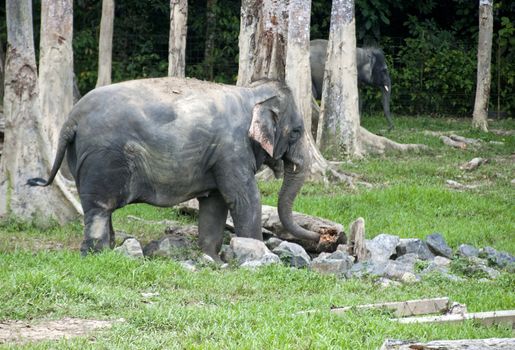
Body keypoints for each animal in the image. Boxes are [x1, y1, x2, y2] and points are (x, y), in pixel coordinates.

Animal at [28, 78, 320, 262]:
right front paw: (258, 254)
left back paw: (111, 250)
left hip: (79, 158)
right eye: (296, 132)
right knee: (100, 208)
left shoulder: (217, 155)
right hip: (102, 157)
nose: (318, 236)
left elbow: (215, 203)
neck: (250, 92)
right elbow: (244, 199)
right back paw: (97, 255)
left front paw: (213, 260)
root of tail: (71, 119)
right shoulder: (232, 149)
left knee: (101, 208)